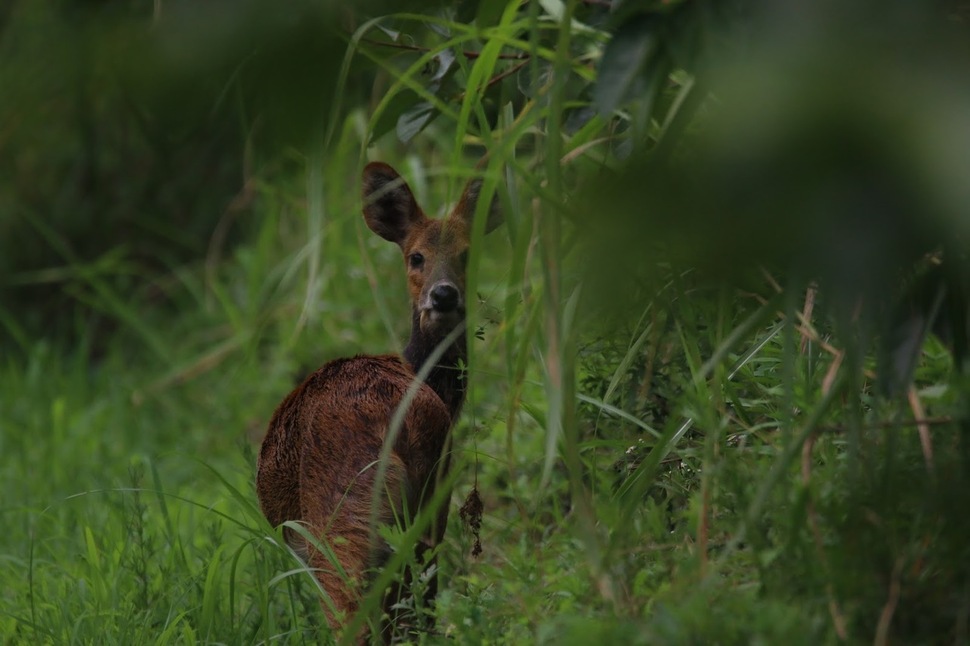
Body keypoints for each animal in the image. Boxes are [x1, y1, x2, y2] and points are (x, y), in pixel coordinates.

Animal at [255, 161, 500, 644]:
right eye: (416, 256)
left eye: (468, 254)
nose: (444, 294)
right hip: (424, 505)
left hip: (342, 519)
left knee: (358, 616)